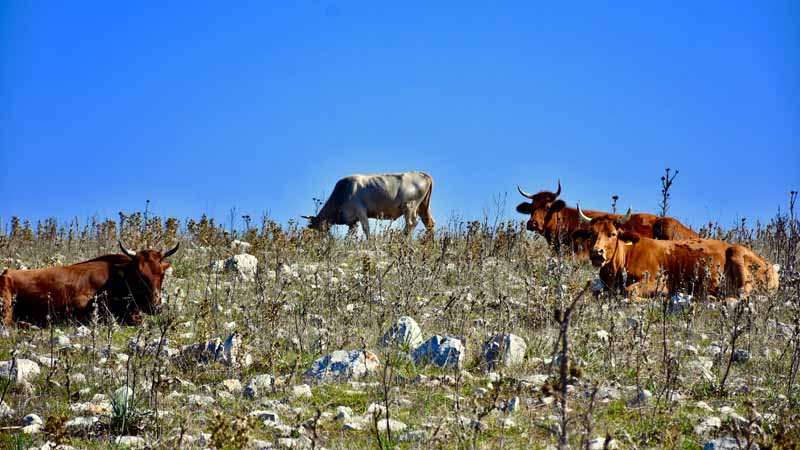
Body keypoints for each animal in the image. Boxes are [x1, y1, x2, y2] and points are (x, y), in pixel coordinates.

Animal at [302, 171, 438, 237]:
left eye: (315, 229)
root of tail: (423, 174)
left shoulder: (360, 211)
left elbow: (366, 228)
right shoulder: (352, 221)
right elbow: (351, 234)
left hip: (409, 206)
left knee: (410, 223)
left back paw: (401, 238)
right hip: (423, 207)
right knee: (429, 223)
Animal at [572, 207, 780, 298]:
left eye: (613, 234)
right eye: (591, 233)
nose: (597, 252)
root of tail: (770, 265)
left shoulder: (656, 280)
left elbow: (630, 291)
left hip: (738, 257)